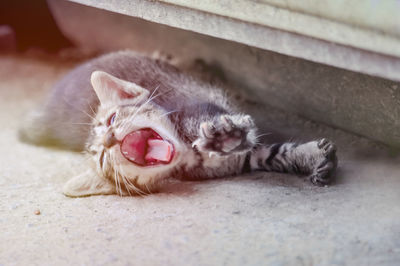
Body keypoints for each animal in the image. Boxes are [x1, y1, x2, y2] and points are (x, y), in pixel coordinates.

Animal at [19, 51, 338, 196]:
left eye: (111, 119)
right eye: (101, 159)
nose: (108, 139)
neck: (190, 153)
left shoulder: (199, 105)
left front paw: (224, 135)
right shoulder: (242, 160)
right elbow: (272, 154)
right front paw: (312, 157)